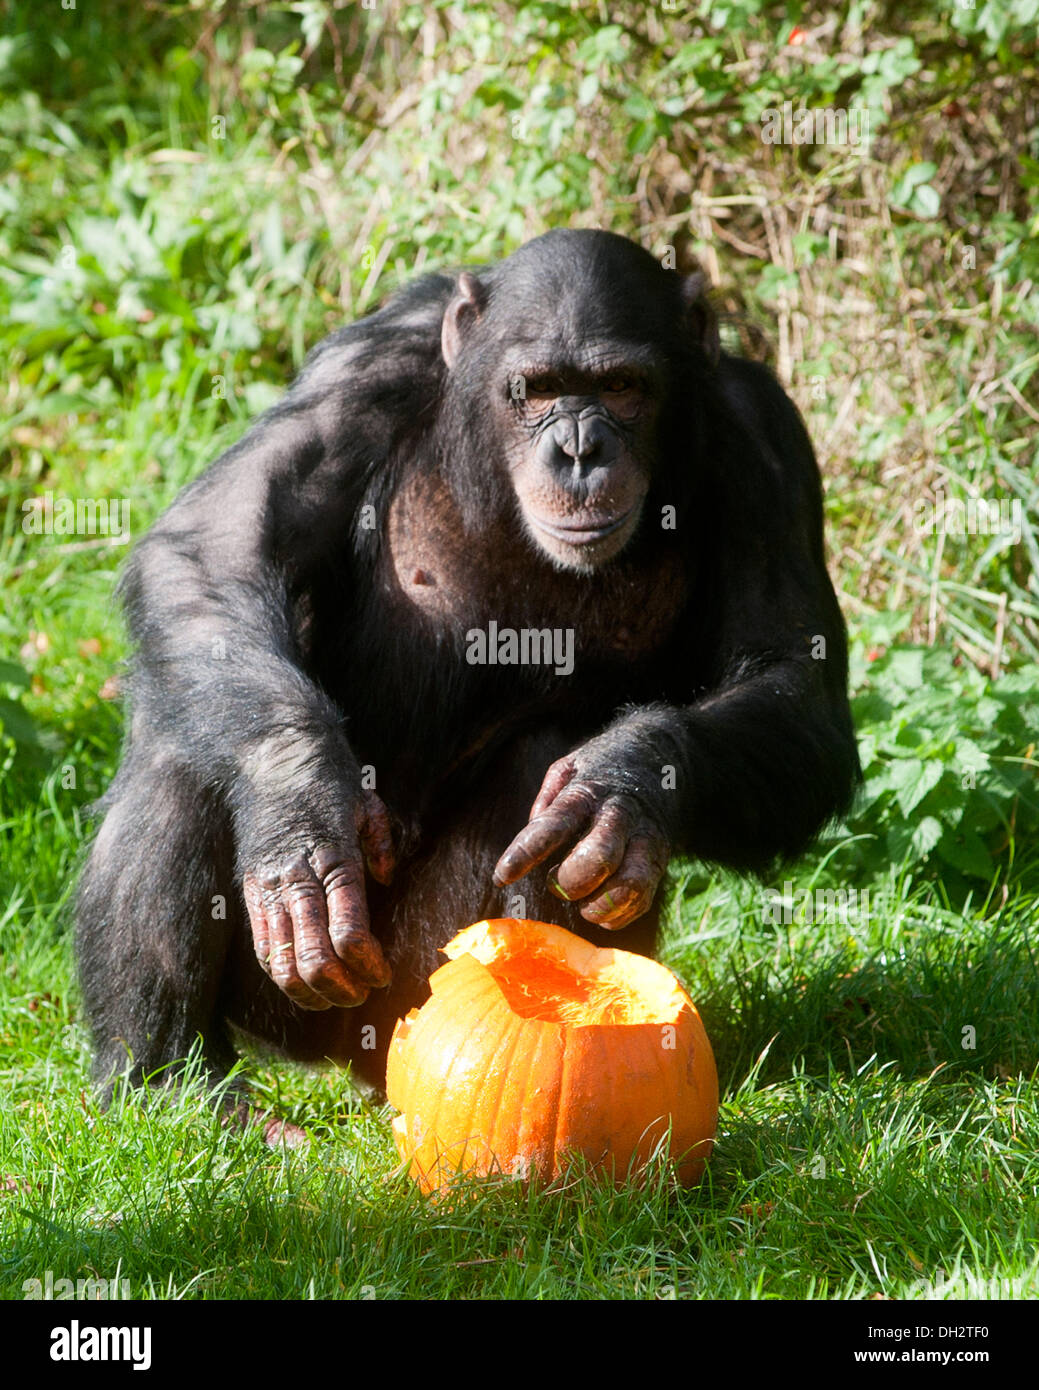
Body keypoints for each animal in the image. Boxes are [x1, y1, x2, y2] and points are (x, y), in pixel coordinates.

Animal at [77, 225, 862, 1095]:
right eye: (537, 388)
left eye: (621, 385)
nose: (580, 447)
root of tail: (338, 1065)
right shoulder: (365, 364)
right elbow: (221, 541)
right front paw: (298, 803)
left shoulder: (764, 441)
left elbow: (793, 682)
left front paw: (623, 784)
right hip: (291, 996)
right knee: (187, 745)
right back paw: (167, 1083)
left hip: (415, 983)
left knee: (549, 763)